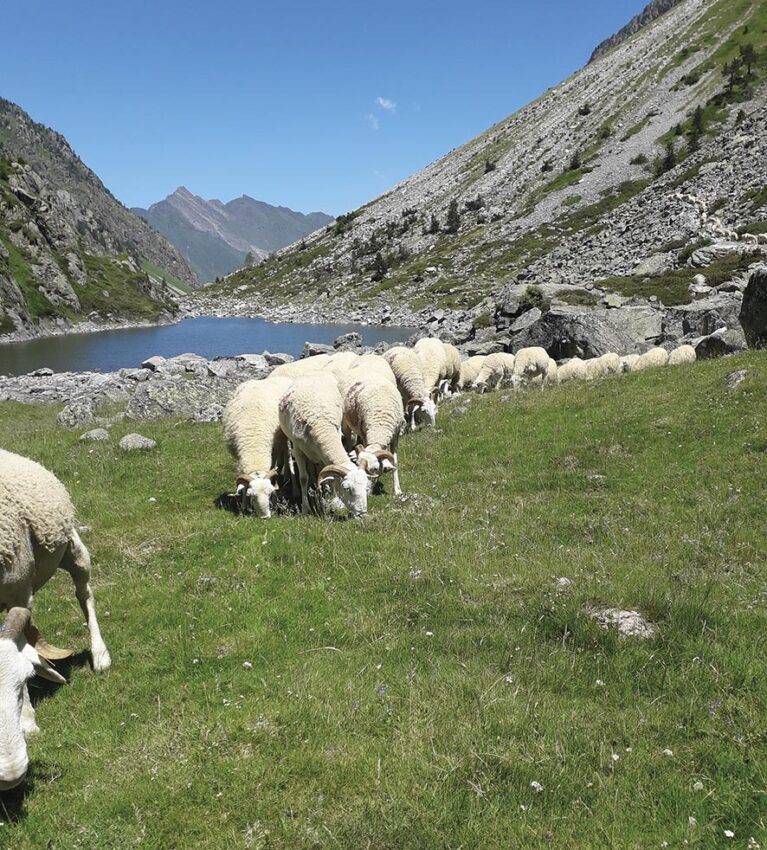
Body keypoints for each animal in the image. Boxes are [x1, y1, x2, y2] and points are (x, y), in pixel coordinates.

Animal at [0, 450, 112, 788]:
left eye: (17, 686)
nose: (11, 774)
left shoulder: (19, 591)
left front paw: (28, 721)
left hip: (71, 547)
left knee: (84, 592)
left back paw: (100, 655)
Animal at [278, 372, 374, 516]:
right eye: (346, 488)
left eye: (365, 485)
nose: (362, 514)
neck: (321, 425)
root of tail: (311, 374)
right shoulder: (299, 451)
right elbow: (303, 478)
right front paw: (305, 509)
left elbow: (328, 473)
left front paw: (332, 498)